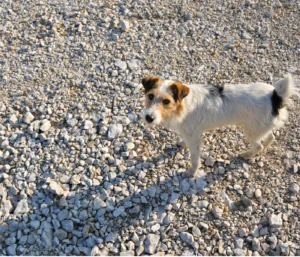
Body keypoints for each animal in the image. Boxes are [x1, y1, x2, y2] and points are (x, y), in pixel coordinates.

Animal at [142, 74, 294, 176]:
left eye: (166, 101)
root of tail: (275, 97)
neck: (183, 104)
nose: (148, 118)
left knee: (258, 145)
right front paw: (182, 143)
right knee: (270, 138)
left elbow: (195, 158)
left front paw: (192, 172)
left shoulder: (195, 137)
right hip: (259, 127)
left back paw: (246, 155)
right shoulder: (190, 133)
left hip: (251, 130)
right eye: (150, 96)